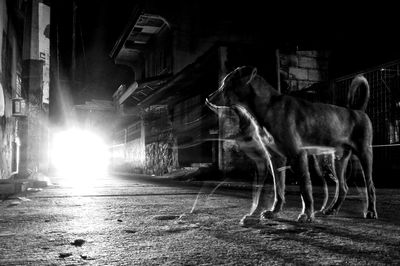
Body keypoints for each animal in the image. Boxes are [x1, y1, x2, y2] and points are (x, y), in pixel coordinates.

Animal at [206, 65, 378, 223]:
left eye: (228, 83)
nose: (208, 98)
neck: (268, 107)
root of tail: (358, 110)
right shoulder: (275, 158)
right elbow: (278, 188)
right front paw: (274, 212)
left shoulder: (298, 155)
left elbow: (305, 188)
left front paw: (306, 214)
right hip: (337, 159)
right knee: (343, 187)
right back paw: (332, 209)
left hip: (365, 154)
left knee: (370, 185)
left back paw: (370, 211)